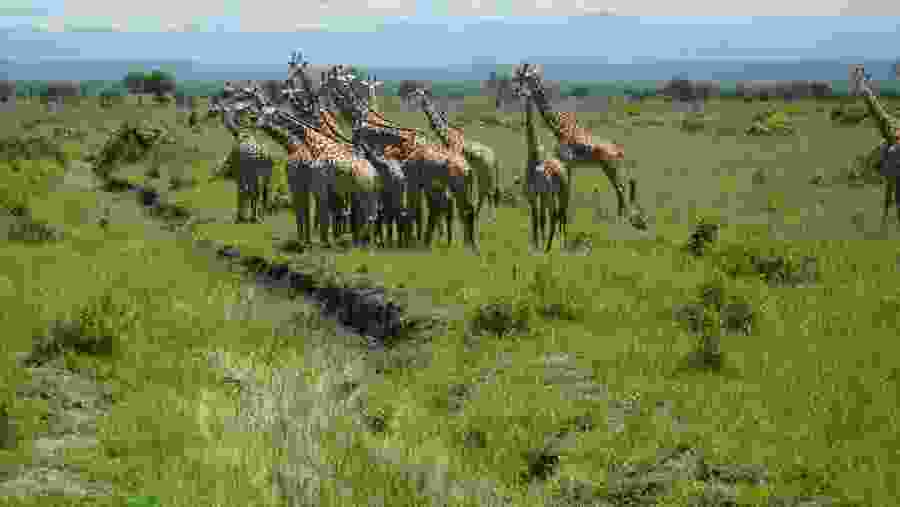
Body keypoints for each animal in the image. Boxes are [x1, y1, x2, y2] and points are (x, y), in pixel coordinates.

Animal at [400, 83, 500, 227]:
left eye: (418, 93)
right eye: (414, 92)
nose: (408, 96)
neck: (449, 136)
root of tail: (494, 158)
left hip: (485, 173)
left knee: (488, 193)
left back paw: (487, 218)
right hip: (484, 174)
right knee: (486, 193)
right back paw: (480, 217)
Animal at [511, 63, 634, 228]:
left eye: (527, 76)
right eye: (520, 75)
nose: (515, 87)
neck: (560, 129)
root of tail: (619, 150)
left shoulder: (567, 161)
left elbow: (567, 195)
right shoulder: (568, 164)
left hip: (611, 166)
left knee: (620, 189)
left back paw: (623, 221)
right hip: (611, 167)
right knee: (620, 190)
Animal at [851, 66, 900, 226]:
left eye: (864, 78)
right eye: (854, 78)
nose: (859, 90)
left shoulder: (891, 176)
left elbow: (888, 204)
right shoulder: (891, 177)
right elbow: (887, 204)